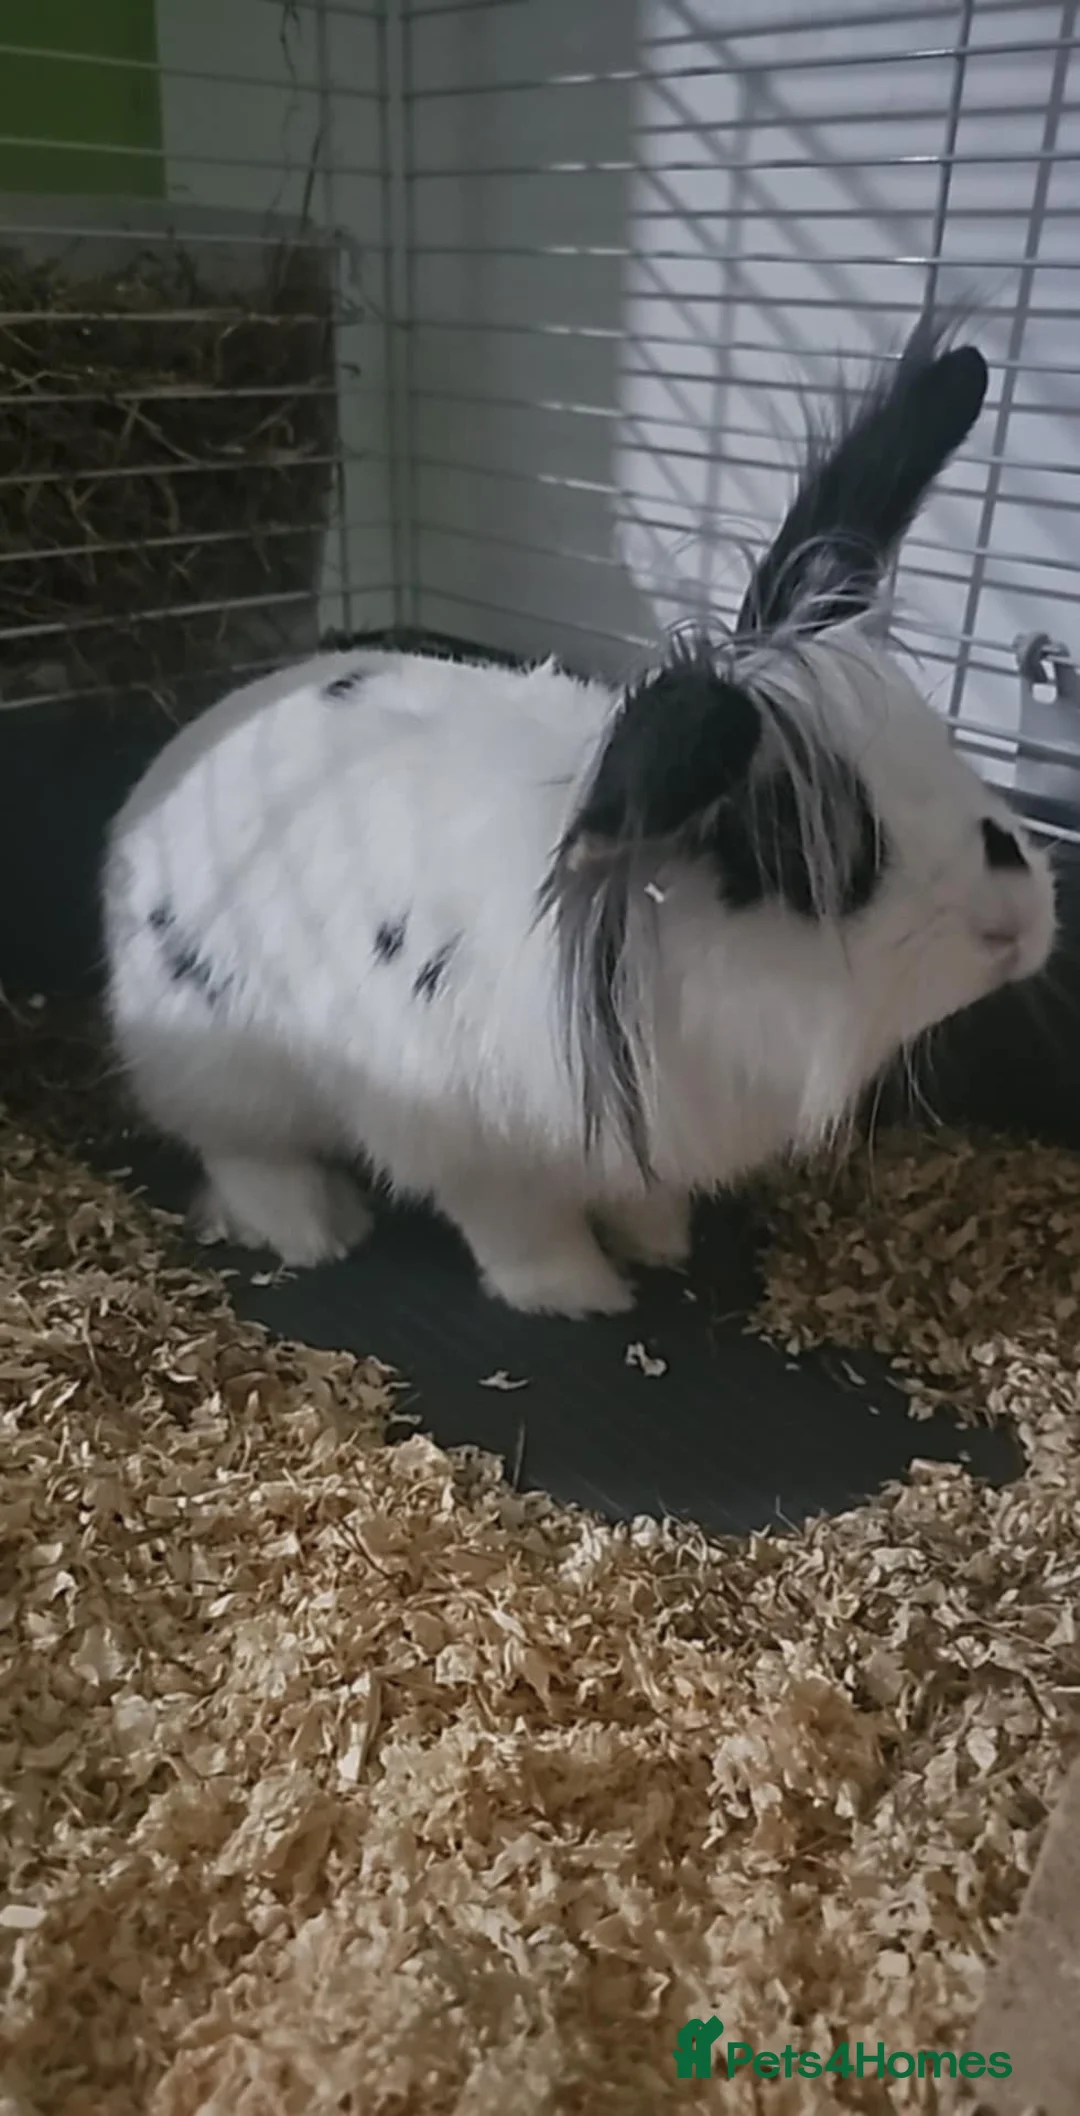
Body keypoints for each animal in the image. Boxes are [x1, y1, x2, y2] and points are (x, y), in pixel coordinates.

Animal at [101, 317, 1056, 1318]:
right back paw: (316, 1231)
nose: (1024, 923)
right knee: (246, 1157)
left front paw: (661, 1244)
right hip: (227, 1077)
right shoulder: (478, 1154)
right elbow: (523, 1234)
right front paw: (585, 1295)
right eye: (806, 848)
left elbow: (641, 1198)